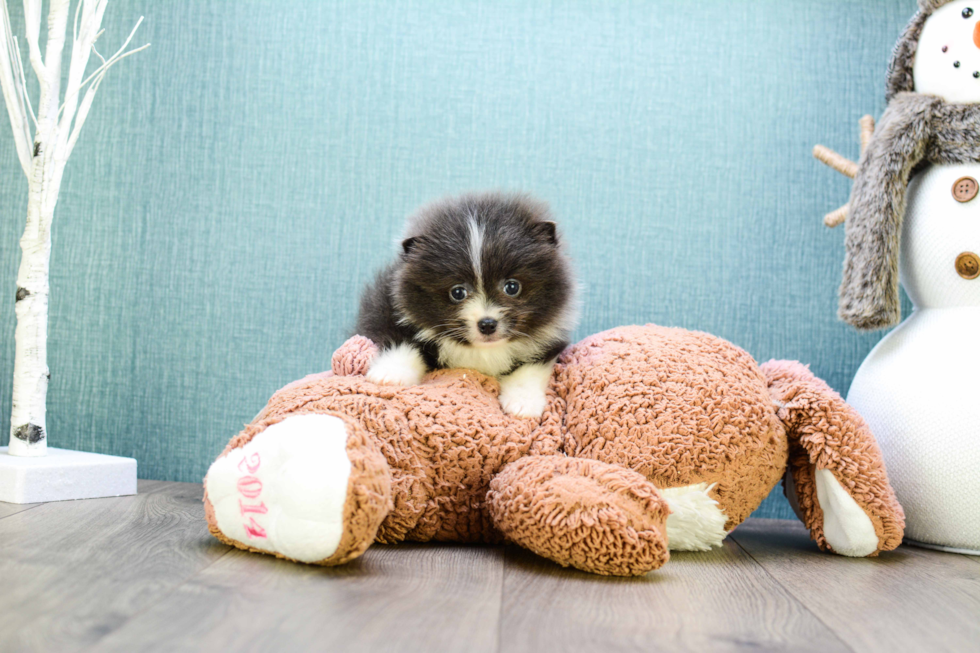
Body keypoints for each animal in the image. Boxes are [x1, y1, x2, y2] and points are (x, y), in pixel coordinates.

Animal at [358, 191, 576, 416]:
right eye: (457, 292)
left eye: (512, 287)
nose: (487, 324)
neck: (484, 350)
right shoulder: (387, 303)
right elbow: (402, 338)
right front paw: (390, 373)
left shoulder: (550, 335)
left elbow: (532, 364)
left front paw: (523, 402)